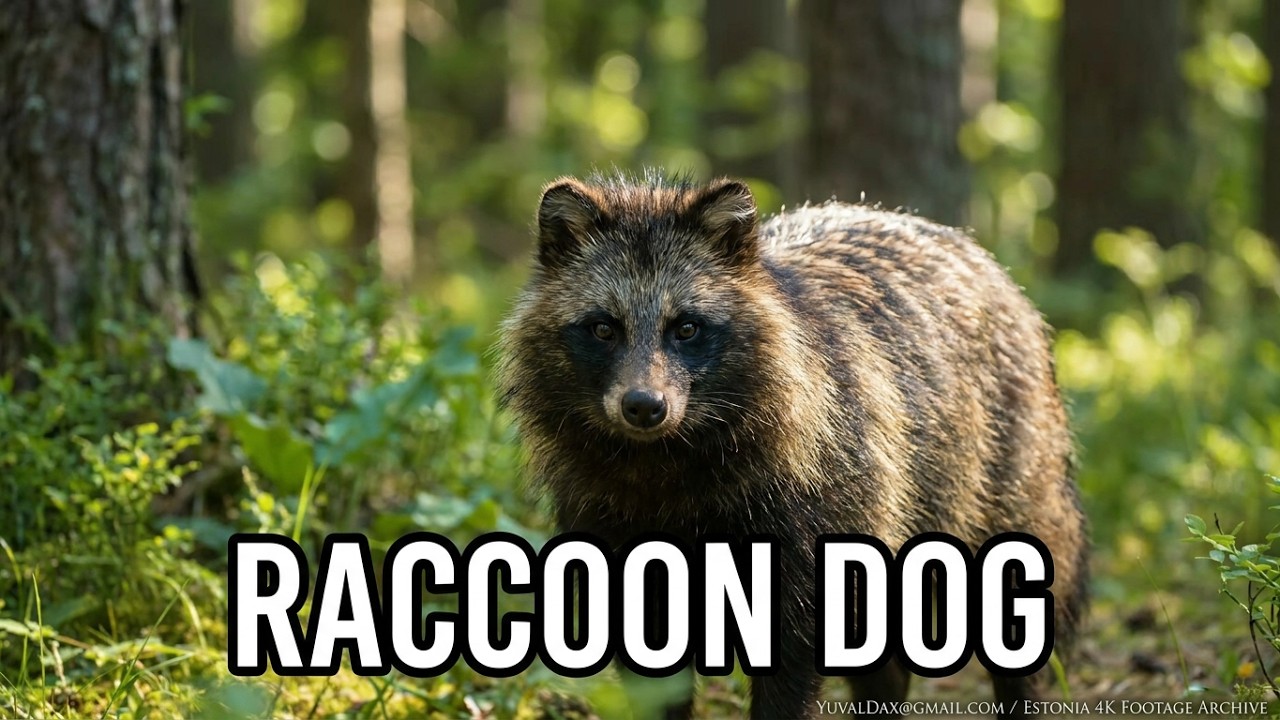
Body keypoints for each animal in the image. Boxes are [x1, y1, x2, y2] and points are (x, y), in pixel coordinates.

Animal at [496, 171, 1088, 719]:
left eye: (685, 328)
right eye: (603, 329)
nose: (644, 406)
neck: (665, 459)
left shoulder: (813, 512)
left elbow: (796, 655)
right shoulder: (611, 523)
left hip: (1001, 472)